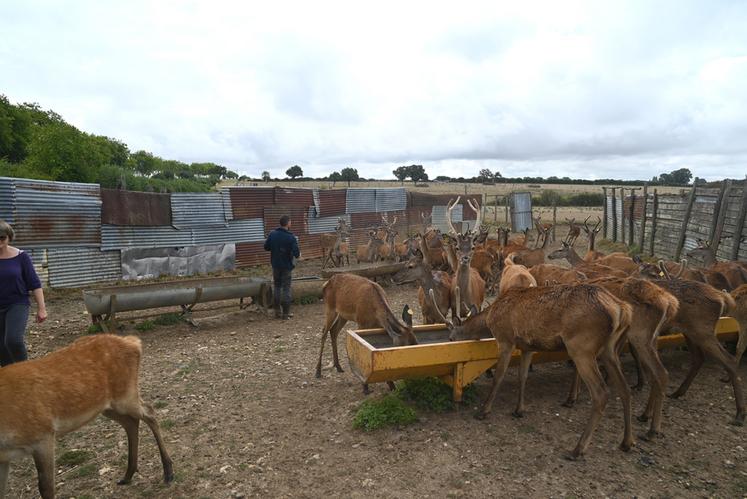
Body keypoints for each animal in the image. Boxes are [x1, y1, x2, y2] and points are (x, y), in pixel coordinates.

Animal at [0, 336, 174, 499]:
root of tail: (133, 342)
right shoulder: (4, 458)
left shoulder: (43, 435)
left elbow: (45, 487)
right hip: (106, 407)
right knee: (130, 422)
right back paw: (127, 475)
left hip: (125, 395)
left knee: (149, 412)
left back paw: (168, 472)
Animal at [430, 284, 636, 458]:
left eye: (450, 338)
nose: (449, 340)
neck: (490, 319)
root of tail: (621, 309)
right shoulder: (527, 347)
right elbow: (523, 376)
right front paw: (519, 410)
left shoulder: (506, 339)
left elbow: (499, 376)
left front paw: (484, 411)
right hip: (610, 350)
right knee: (624, 388)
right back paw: (626, 442)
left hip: (581, 347)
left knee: (601, 393)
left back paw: (577, 449)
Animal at [636, 262, 744, 426]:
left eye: (654, 274)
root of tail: (723, 298)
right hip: (690, 332)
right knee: (699, 358)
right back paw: (677, 392)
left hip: (702, 331)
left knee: (729, 360)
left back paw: (740, 413)